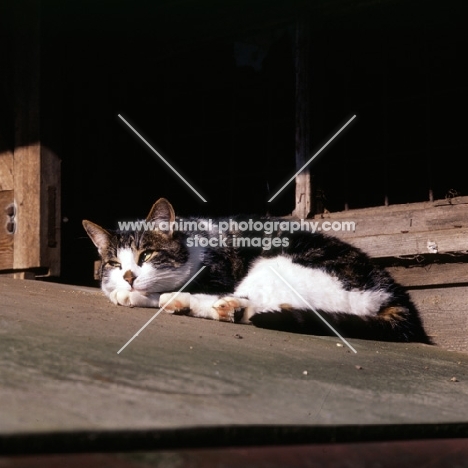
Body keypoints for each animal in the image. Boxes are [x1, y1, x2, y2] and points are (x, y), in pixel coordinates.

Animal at [83, 197, 432, 344]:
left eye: (147, 254)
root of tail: (394, 295)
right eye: (114, 264)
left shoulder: (219, 275)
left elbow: (168, 288)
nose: (128, 277)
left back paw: (180, 301)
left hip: (275, 264)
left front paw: (134, 296)